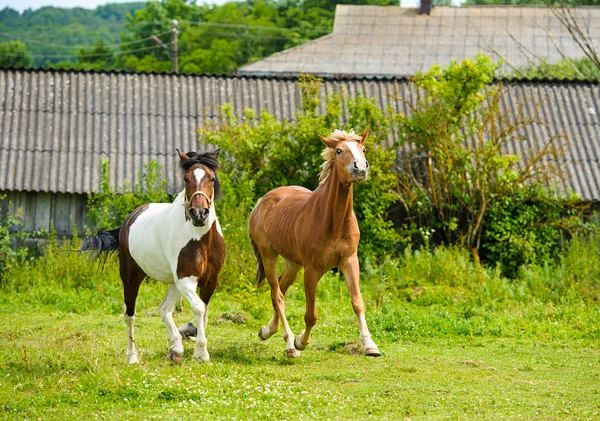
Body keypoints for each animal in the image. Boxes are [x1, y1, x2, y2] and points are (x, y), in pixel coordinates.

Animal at [79, 149, 225, 362]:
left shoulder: (210, 280)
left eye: (212, 178)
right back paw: (132, 357)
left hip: (173, 283)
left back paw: (176, 349)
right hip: (132, 277)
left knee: (164, 309)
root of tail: (130, 219)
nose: (199, 214)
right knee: (129, 314)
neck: (201, 240)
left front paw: (198, 353)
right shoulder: (186, 280)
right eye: (186, 178)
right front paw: (202, 353)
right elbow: (198, 307)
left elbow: (203, 312)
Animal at [248, 129, 380, 358]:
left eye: (362, 148)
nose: (360, 168)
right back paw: (290, 344)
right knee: (277, 295)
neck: (334, 222)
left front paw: (370, 345)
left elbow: (357, 302)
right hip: (269, 256)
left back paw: (267, 331)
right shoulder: (312, 270)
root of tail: (261, 202)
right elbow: (311, 314)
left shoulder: (350, 262)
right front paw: (301, 341)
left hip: (292, 264)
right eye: (339, 150)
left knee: (280, 290)